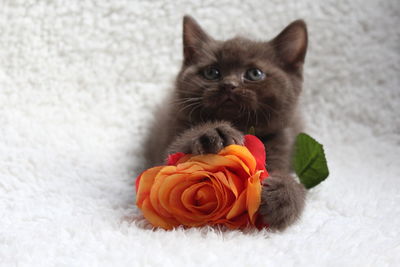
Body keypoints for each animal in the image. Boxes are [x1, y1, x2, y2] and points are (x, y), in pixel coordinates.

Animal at [143, 15, 306, 231]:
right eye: (212, 72)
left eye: (255, 73)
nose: (229, 85)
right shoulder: (172, 132)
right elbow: (174, 152)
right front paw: (215, 131)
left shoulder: (281, 141)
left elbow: (288, 177)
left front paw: (284, 194)